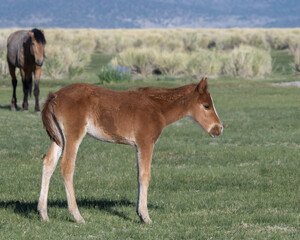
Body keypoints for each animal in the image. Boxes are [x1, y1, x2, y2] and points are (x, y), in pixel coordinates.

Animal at [38, 78, 223, 224]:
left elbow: (139, 174)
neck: (157, 108)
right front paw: (146, 216)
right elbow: (145, 175)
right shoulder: (146, 143)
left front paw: (139, 213)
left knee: (48, 162)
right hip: (73, 135)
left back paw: (43, 213)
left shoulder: (138, 146)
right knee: (67, 166)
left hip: (60, 138)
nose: (219, 129)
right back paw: (77, 215)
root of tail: (55, 95)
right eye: (206, 106)